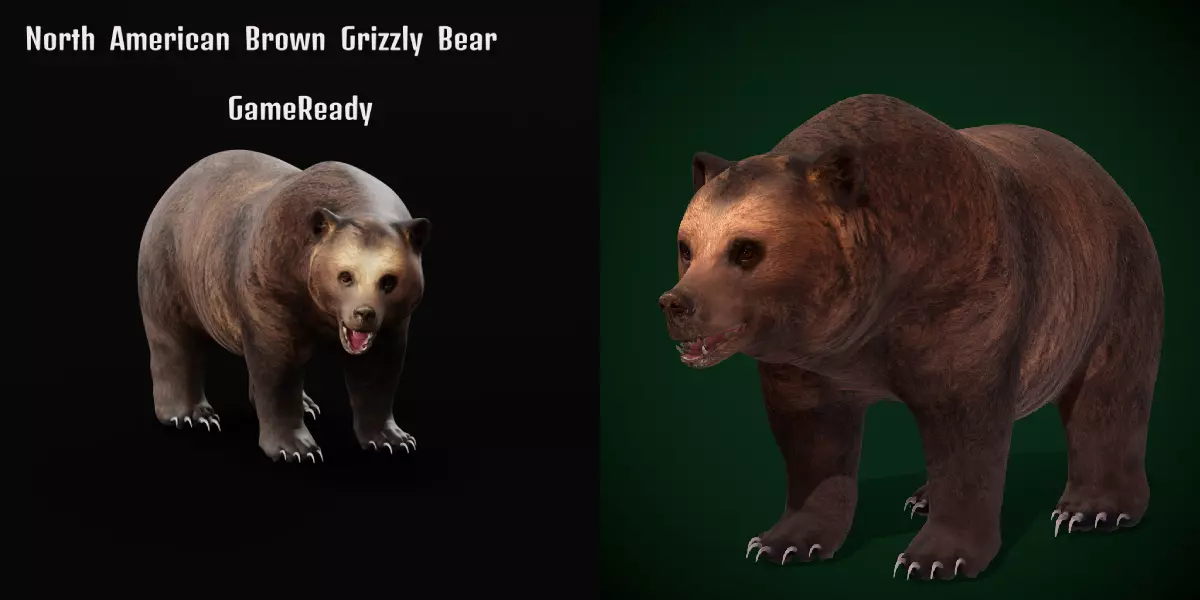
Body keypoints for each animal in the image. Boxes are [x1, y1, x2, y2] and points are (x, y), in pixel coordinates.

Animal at [137, 149, 431, 463]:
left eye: (388, 280)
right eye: (345, 276)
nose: (364, 313)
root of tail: (174, 186)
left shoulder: (393, 322)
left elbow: (378, 369)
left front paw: (392, 439)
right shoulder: (272, 285)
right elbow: (278, 366)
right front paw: (297, 448)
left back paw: (307, 404)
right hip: (170, 267)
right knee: (174, 339)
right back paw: (192, 415)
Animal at [657, 94, 1163, 580]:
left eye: (745, 249)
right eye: (686, 247)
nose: (676, 304)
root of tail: (1106, 178)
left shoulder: (963, 300)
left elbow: (964, 432)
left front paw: (937, 558)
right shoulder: (805, 363)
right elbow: (811, 439)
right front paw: (782, 542)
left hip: (1114, 285)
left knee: (1108, 396)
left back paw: (1092, 510)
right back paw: (921, 498)